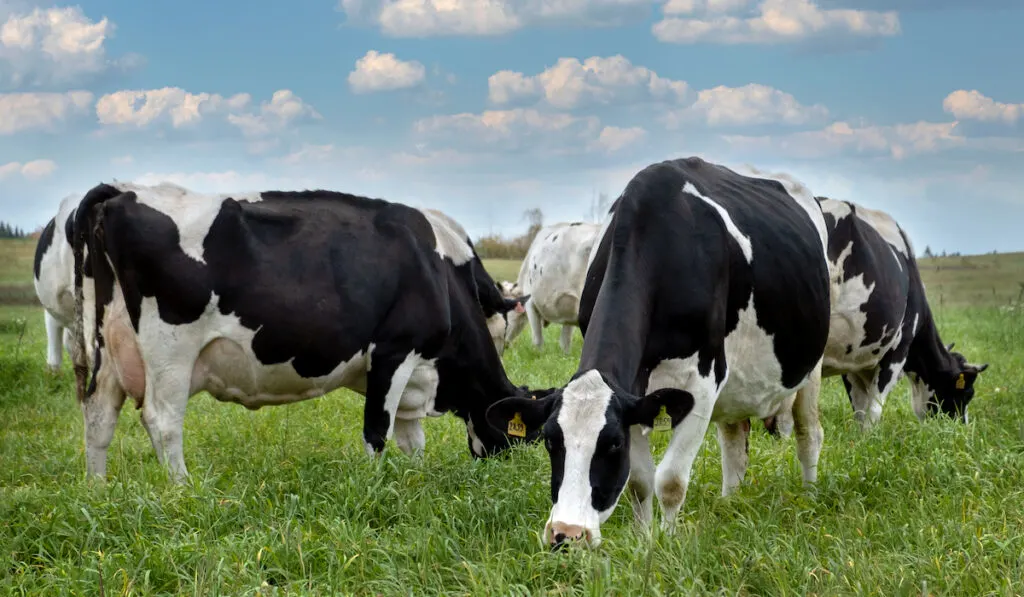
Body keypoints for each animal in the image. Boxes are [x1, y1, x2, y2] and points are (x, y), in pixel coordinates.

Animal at [70, 181, 544, 481]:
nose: (500, 471)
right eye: (518, 437)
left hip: (108, 343)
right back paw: (182, 489)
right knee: (163, 419)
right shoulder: (394, 352)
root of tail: (120, 193)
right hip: (170, 348)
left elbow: (413, 440)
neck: (440, 272)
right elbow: (378, 431)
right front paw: (375, 487)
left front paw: (413, 479)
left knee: (99, 414)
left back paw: (99, 492)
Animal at [499, 223, 602, 354]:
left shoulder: (531, 304)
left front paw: (539, 355)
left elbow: (537, 340)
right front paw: (565, 356)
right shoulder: (568, 308)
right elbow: (565, 342)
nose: (503, 347)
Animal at [765, 198, 987, 436]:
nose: (959, 430)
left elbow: (860, 407)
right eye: (967, 393)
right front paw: (869, 438)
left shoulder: (853, 359)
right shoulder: (897, 351)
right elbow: (874, 407)